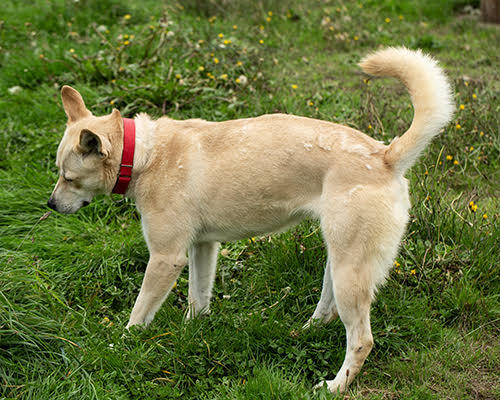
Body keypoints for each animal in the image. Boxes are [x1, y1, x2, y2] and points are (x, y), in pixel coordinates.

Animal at [48, 47, 456, 394]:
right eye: (59, 173)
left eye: (68, 177)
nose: (50, 204)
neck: (145, 154)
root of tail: (385, 156)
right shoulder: (202, 247)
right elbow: (198, 297)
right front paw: (193, 331)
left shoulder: (166, 258)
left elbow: (139, 313)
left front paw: (122, 344)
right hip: (339, 261)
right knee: (328, 312)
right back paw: (303, 332)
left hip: (350, 272)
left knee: (361, 340)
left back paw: (335, 386)